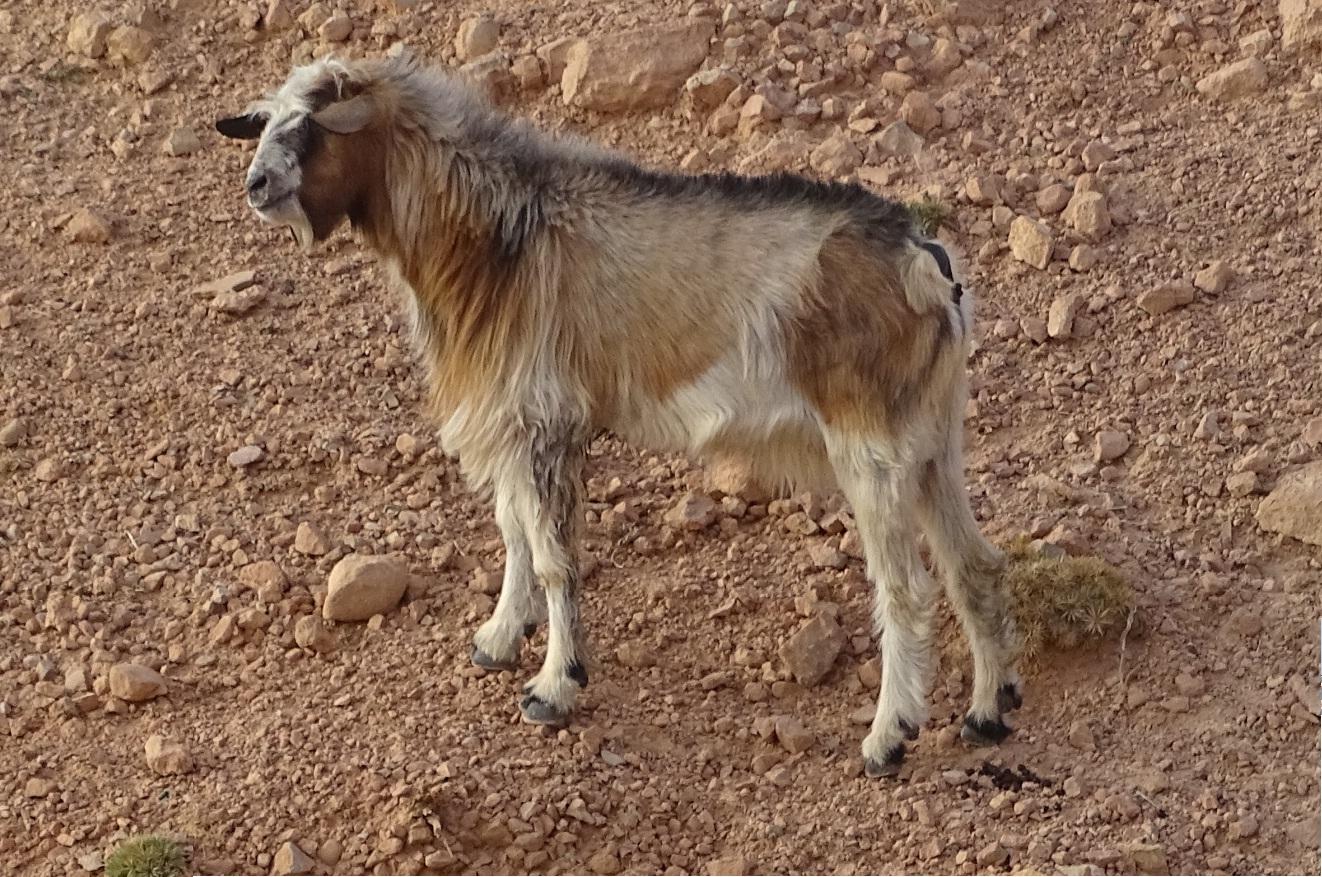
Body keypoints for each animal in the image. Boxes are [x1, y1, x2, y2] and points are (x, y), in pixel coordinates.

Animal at [216, 54, 1020, 777]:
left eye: (312, 126)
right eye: (268, 121)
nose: (257, 185)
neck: (498, 235)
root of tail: (925, 260)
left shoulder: (543, 418)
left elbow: (553, 556)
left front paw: (553, 686)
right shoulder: (512, 424)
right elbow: (513, 531)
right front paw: (498, 640)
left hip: (871, 450)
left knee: (907, 591)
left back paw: (888, 738)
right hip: (932, 444)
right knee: (975, 564)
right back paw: (987, 713)